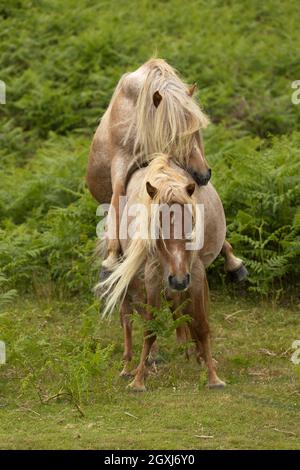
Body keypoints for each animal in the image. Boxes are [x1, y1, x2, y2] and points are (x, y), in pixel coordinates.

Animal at [86, 57, 246, 280]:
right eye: (174, 134)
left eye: (197, 132)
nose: (205, 175)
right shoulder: (120, 164)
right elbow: (117, 202)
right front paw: (109, 261)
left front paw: (233, 261)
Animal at [97, 154, 226, 390]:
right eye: (157, 227)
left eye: (191, 225)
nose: (178, 280)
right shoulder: (152, 278)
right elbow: (150, 329)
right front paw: (138, 380)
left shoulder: (195, 273)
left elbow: (201, 323)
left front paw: (213, 376)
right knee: (128, 317)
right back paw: (129, 367)